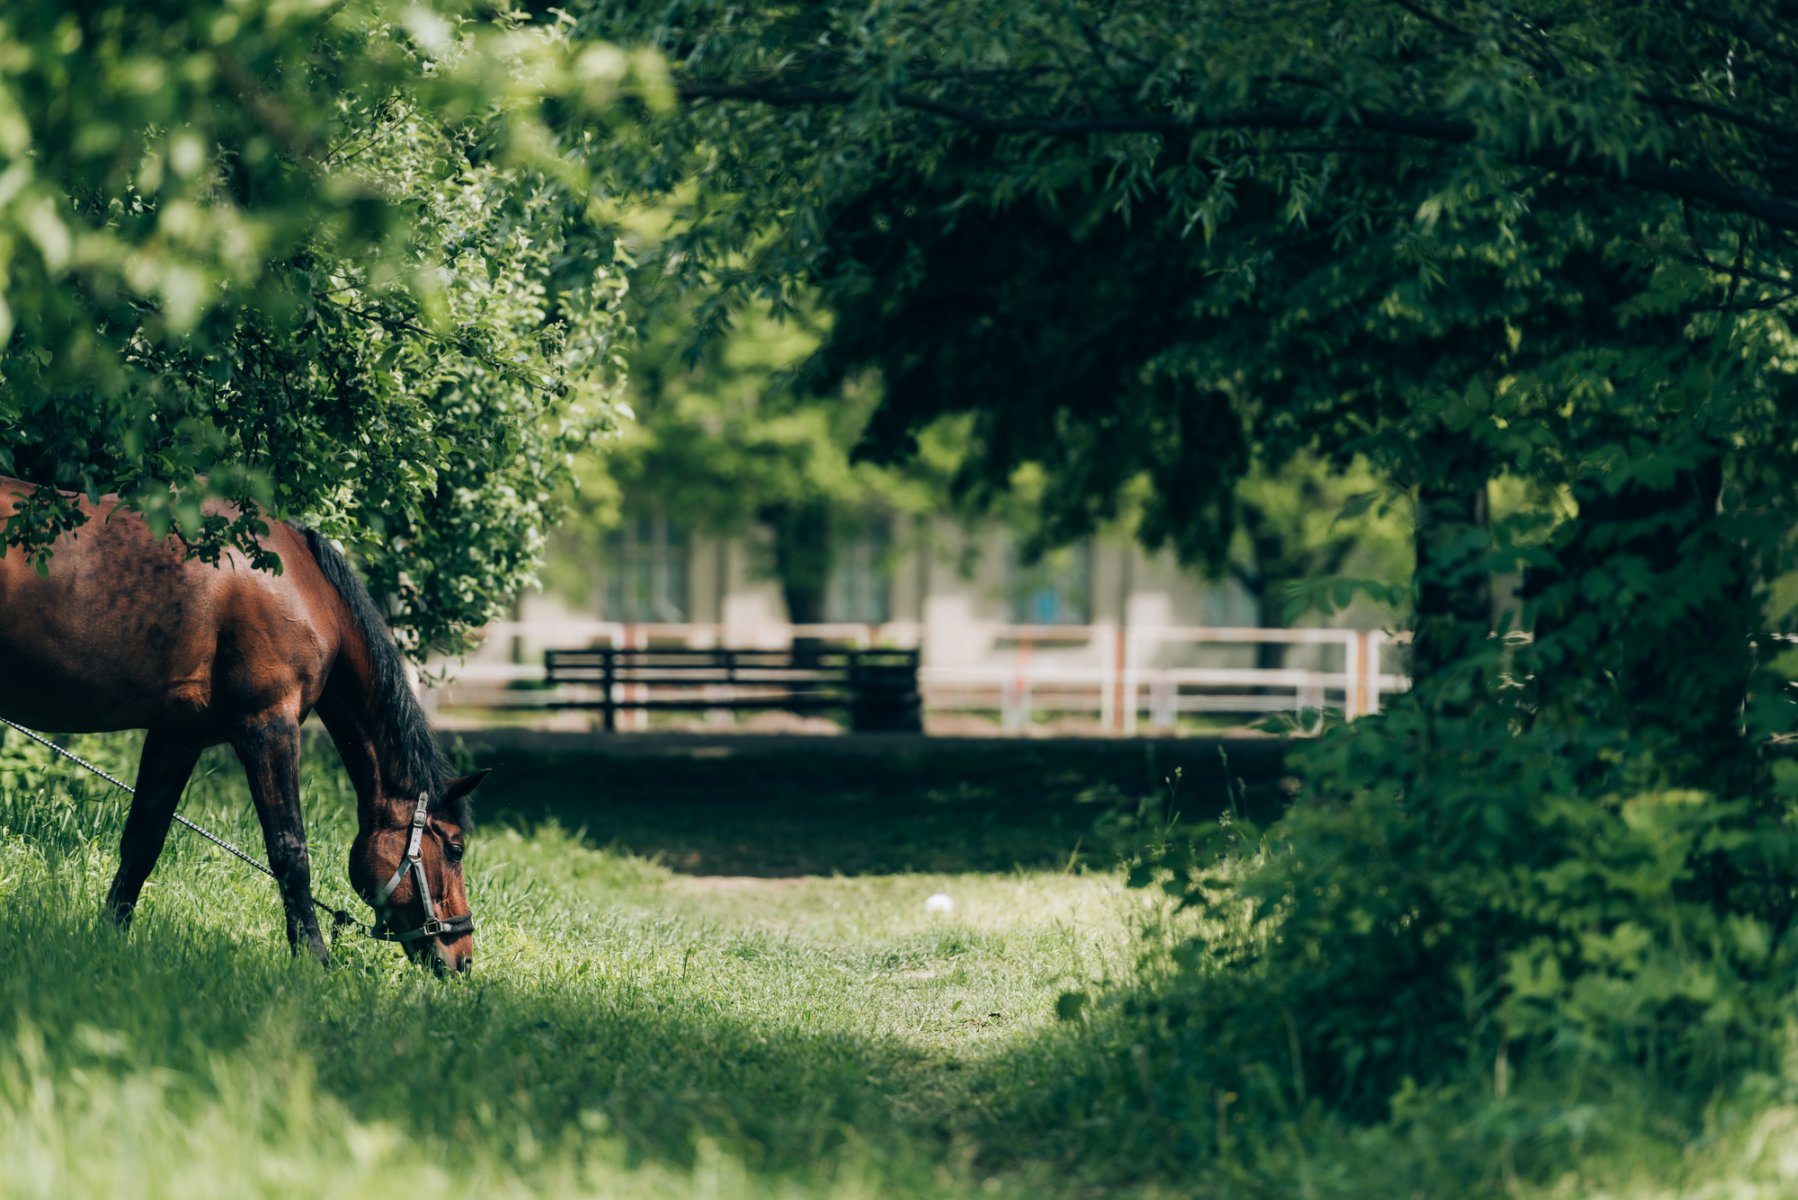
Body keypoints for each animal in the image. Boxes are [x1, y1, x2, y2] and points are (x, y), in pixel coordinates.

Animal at [0, 477, 485, 972]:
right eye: (455, 848)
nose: (463, 956)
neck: (300, 586)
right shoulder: (269, 727)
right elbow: (290, 852)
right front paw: (315, 960)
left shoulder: (177, 737)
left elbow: (142, 842)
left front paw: (110, 940)